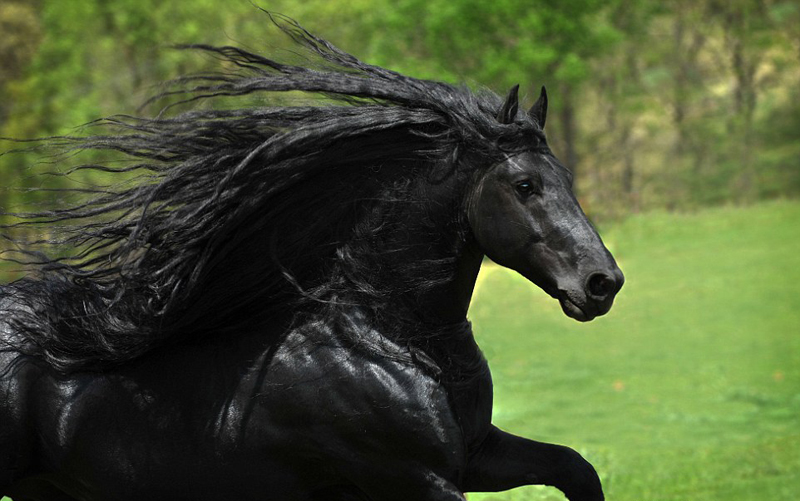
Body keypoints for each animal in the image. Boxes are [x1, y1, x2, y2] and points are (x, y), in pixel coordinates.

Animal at [0, 14, 623, 501]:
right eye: (524, 186)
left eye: (567, 178)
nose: (603, 283)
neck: (388, 338)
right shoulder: (413, 477)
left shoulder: (476, 454)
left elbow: (577, 469)